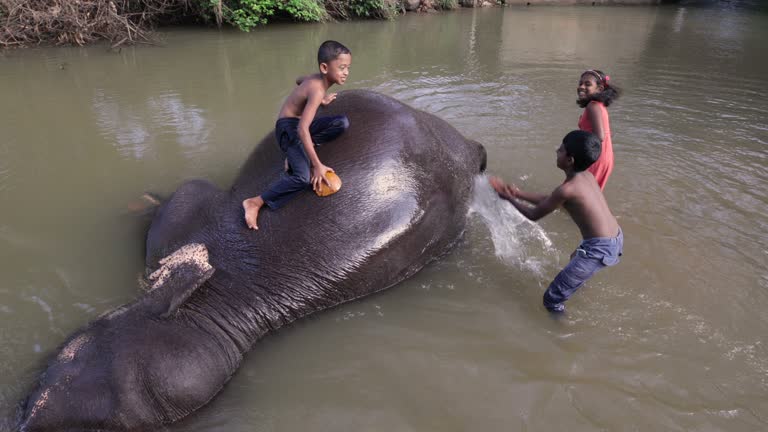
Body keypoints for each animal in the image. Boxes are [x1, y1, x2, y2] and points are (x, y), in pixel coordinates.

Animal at [16, 89, 486, 430]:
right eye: (56, 367)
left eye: (102, 427)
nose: (23, 422)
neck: (222, 290)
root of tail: (466, 143)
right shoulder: (181, 223)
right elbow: (180, 195)